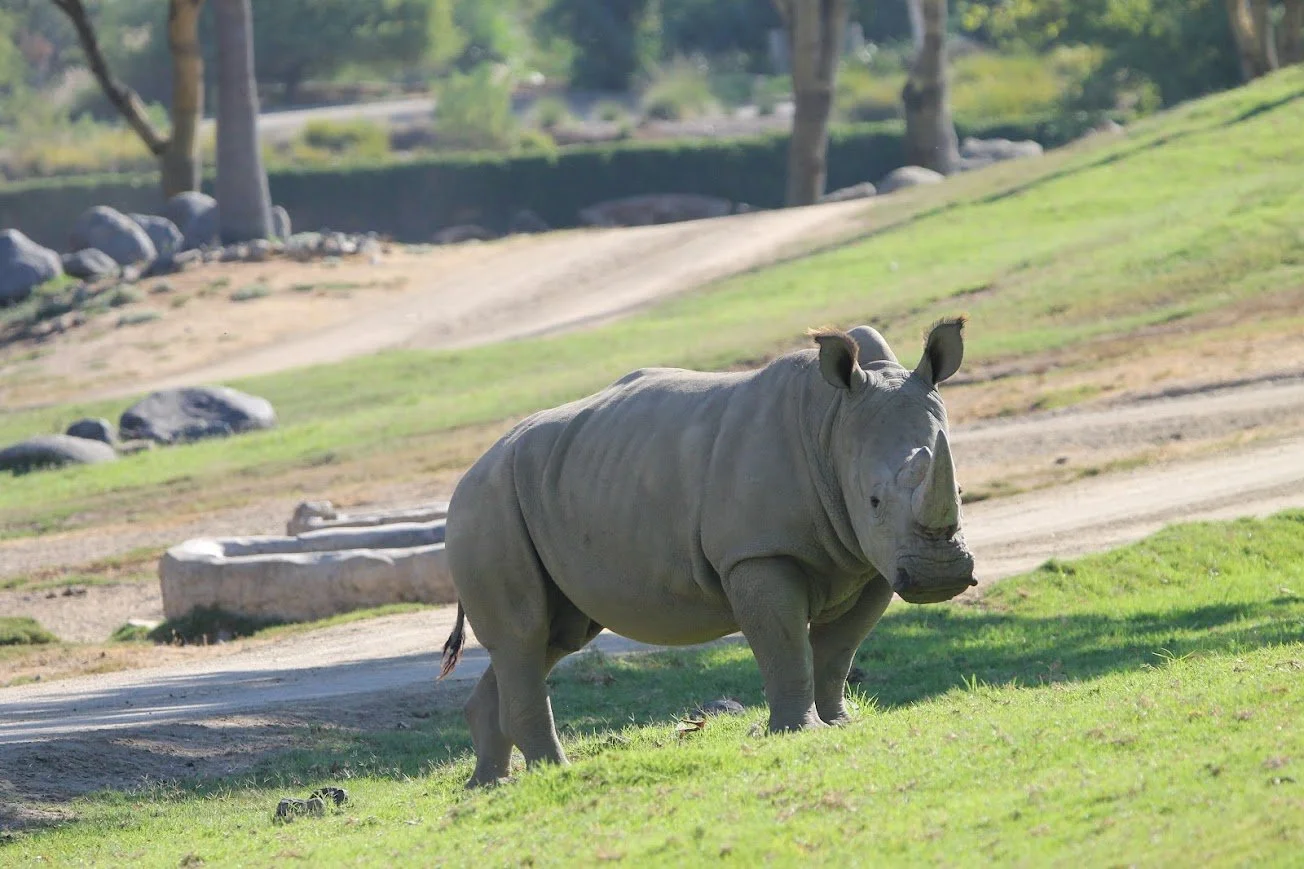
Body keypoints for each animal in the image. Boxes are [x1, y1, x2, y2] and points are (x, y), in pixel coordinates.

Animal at [440, 318, 976, 787]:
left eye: (960, 490)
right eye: (874, 500)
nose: (939, 577)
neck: (832, 422)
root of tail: (470, 472)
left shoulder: (871, 562)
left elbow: (837, 651)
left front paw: (840, 724)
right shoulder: (758, 553)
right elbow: (786, 646)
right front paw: (800, 732)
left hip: (542, 492)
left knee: (552, 636)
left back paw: (489, 784)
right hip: (485, 507)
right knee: (524, 635)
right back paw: (554, 772)